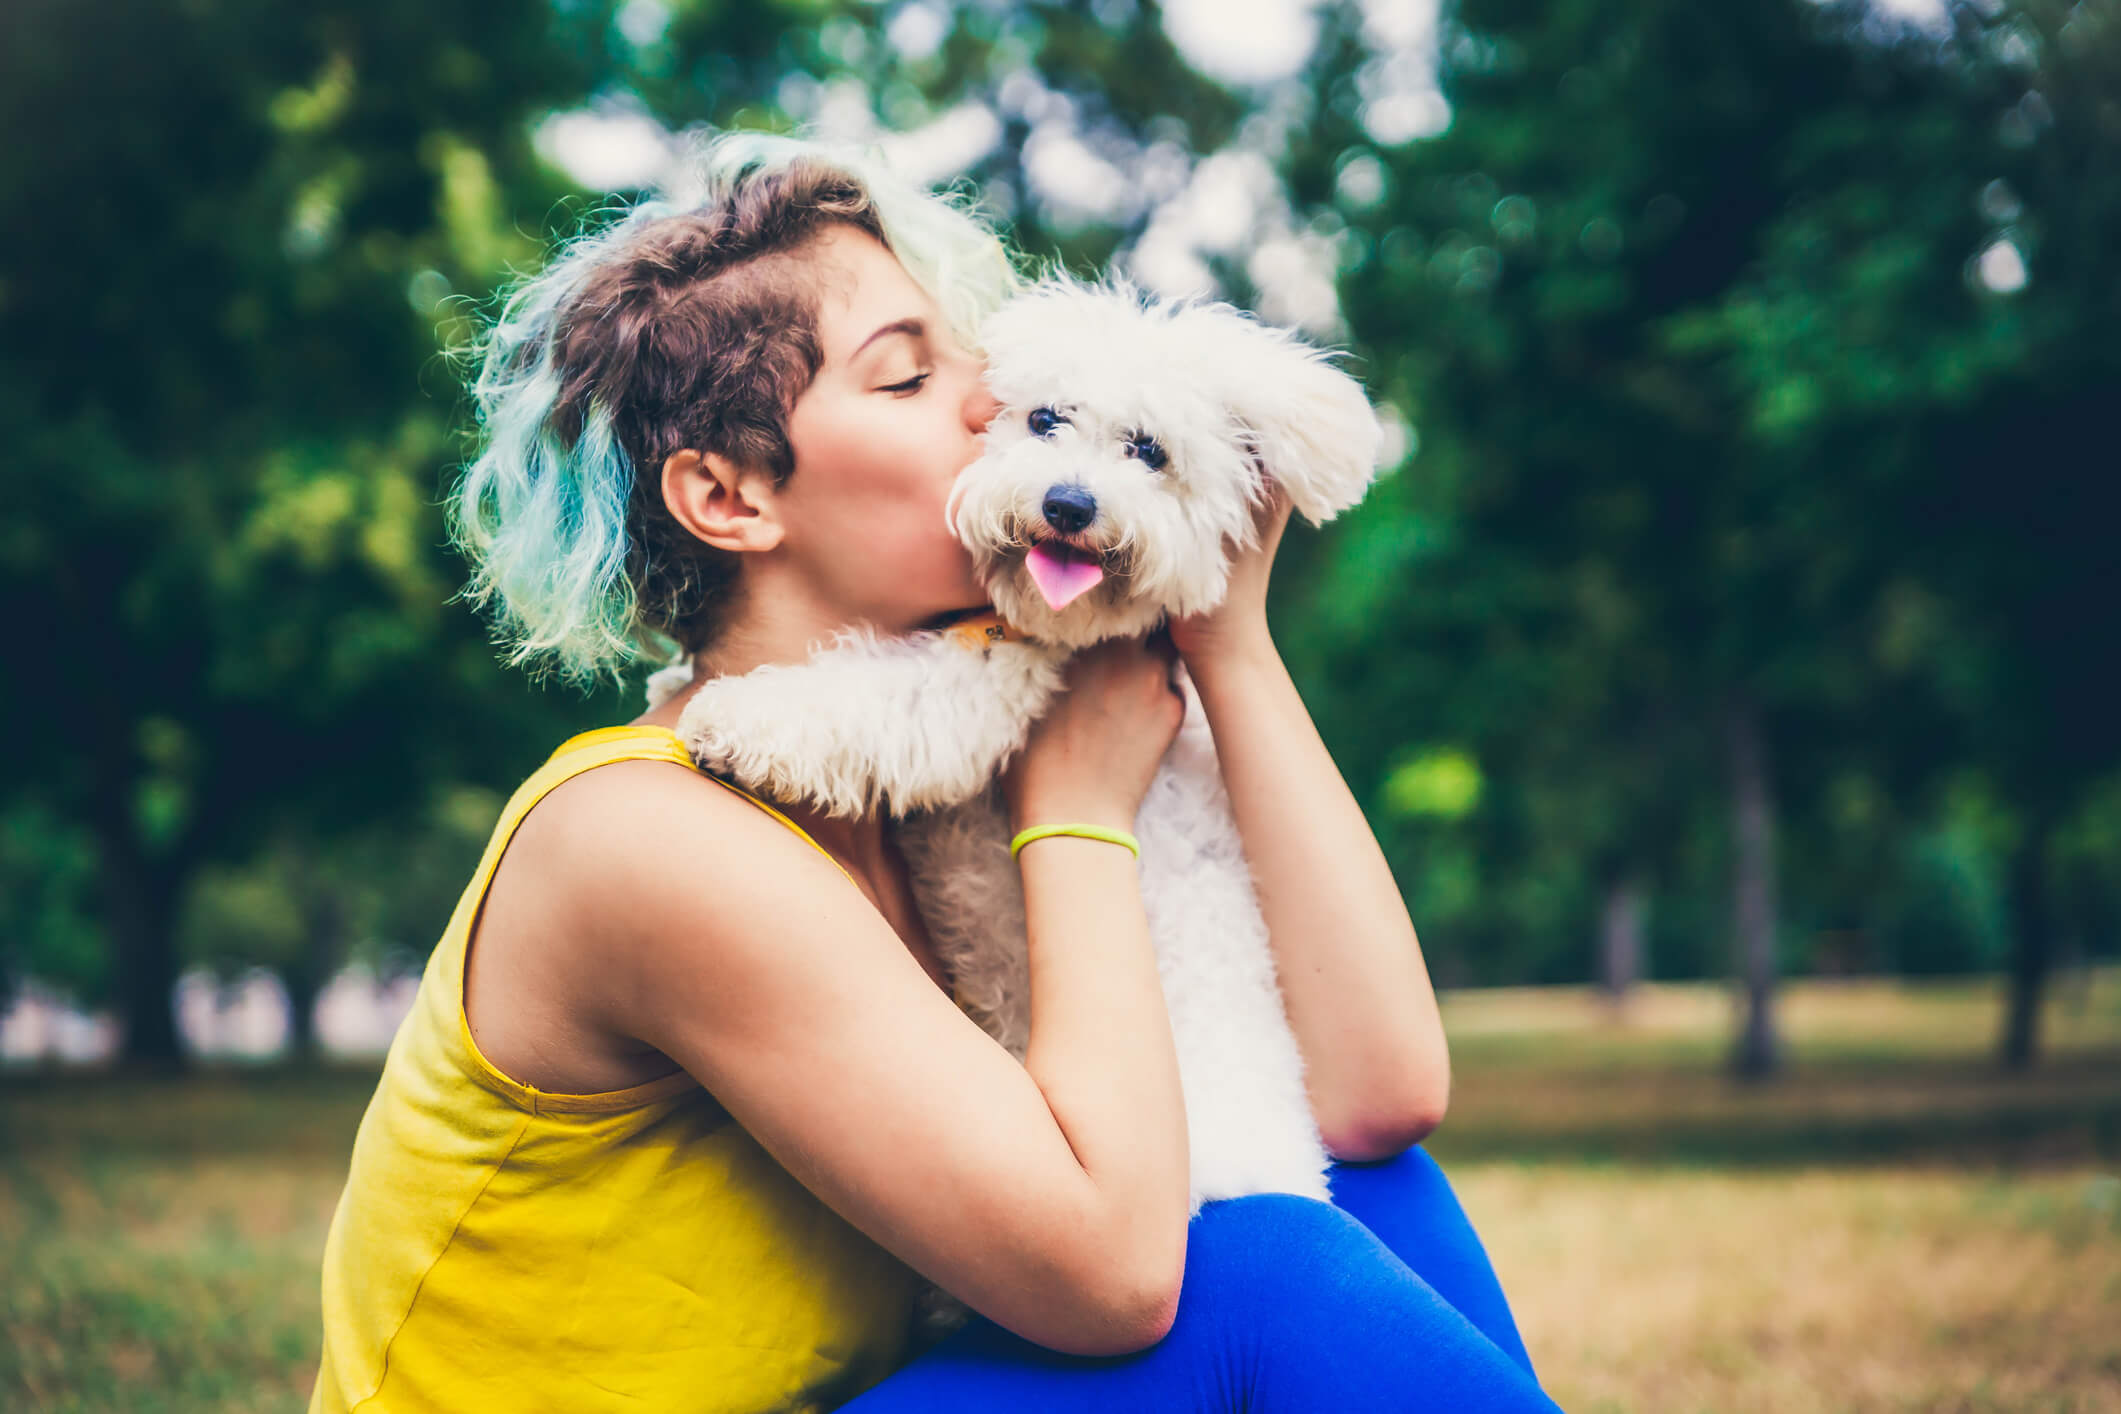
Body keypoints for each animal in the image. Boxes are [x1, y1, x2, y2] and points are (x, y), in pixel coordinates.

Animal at [644, 279, 1382, 1221]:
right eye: (1043, 419)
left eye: (1149, 451)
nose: (1068, 504)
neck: (1055, 632)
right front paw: (671, 682)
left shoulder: (984, 690)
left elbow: (866, 693)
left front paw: (735, 721)